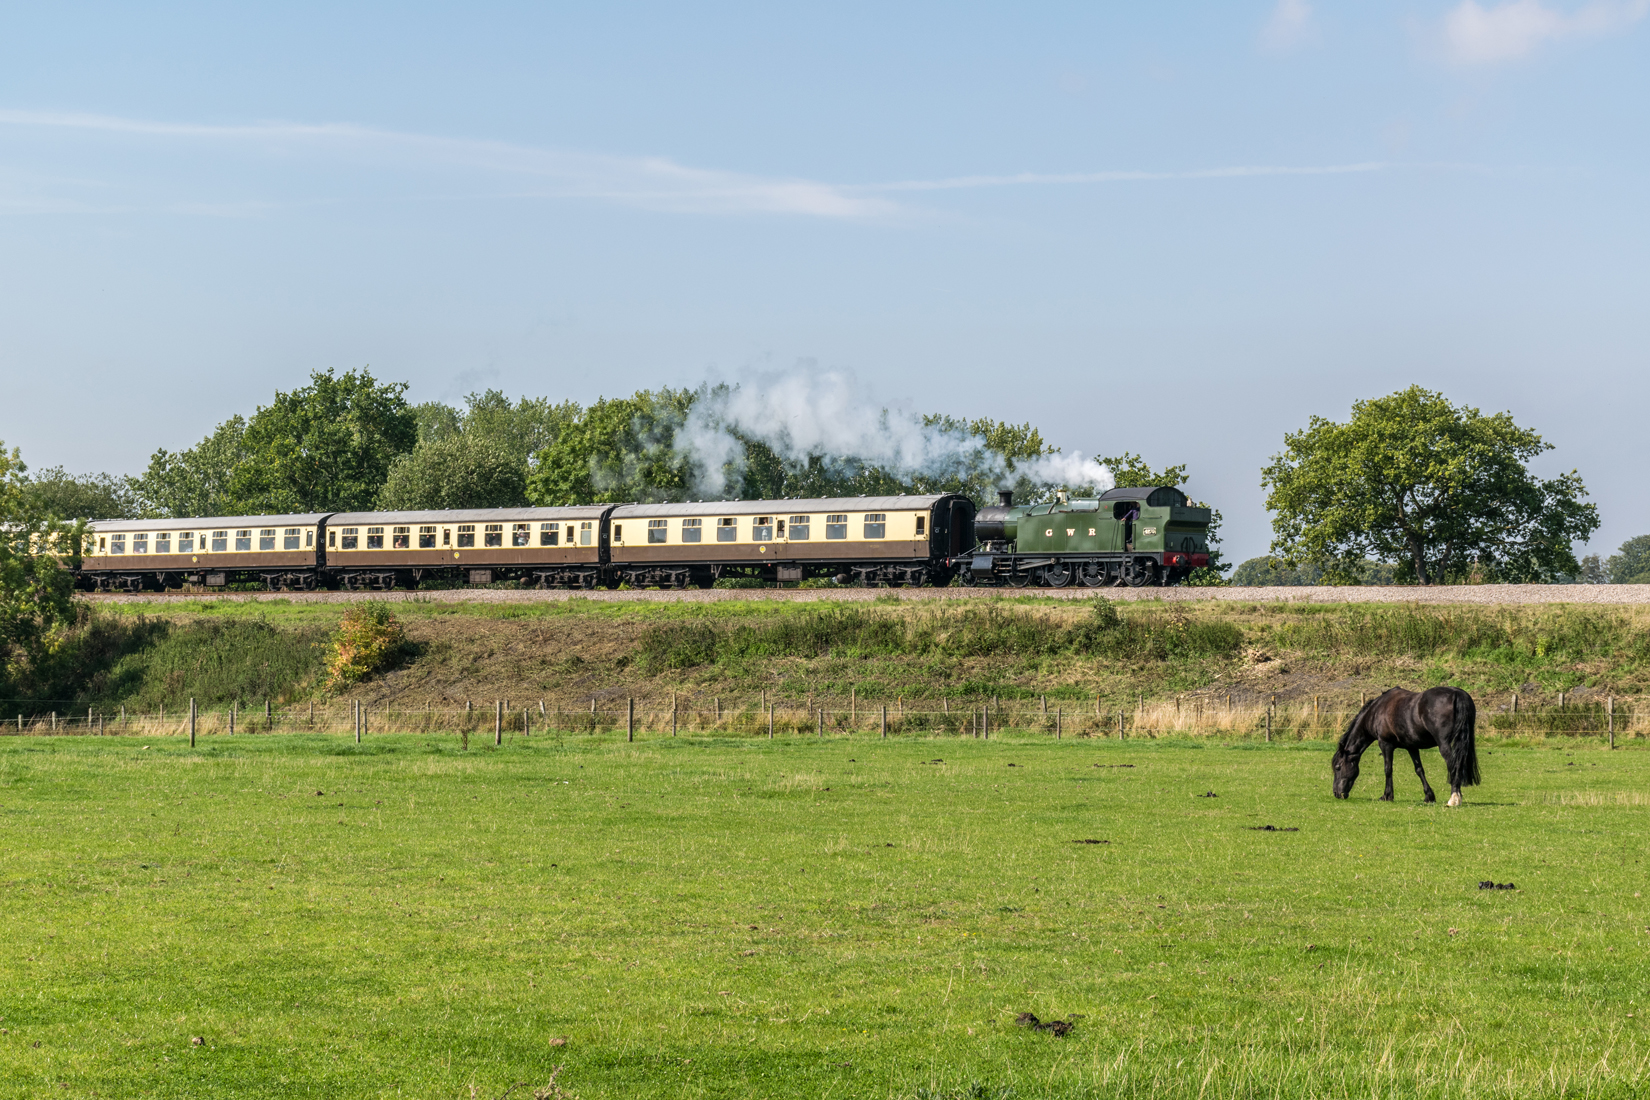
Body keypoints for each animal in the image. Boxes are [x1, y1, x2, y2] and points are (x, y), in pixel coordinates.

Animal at [1326, 689, 1485, 808]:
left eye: (1338, 767)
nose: (1336, 793)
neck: (1377, 711)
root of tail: (1456, 693)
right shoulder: (1411, 747)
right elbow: (1419, 770)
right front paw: (1429, 796)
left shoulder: (1385, 744)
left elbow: (1388, 769)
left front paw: (1387, 796)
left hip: (1444, 745)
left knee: (1453, 765)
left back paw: (1454, 798)